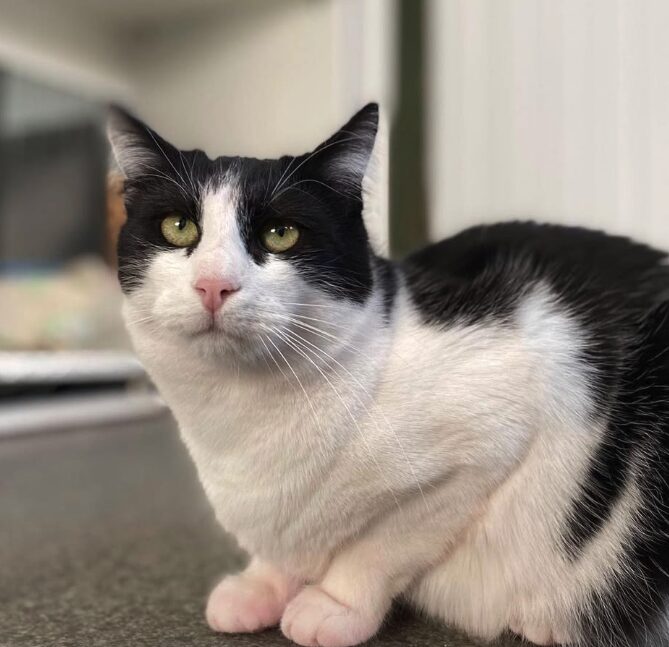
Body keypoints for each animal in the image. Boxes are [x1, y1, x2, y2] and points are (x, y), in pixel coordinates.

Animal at [107, 104, 668, 644]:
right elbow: (288, 544)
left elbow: (379, 546)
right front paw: (262, 583)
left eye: (280, 234)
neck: (240, 417)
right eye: (178, 227)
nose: (213, 284)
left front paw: (332, 605)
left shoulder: (501, 424)